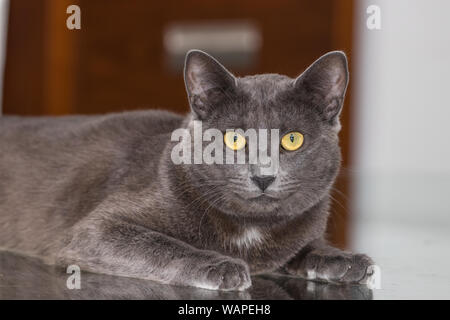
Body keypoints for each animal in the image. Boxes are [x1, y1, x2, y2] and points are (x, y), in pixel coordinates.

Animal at [0, 49, 372, 290]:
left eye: (292, 140)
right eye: (234, 138)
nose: (263, 175)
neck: (250, 229)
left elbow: (304, 246)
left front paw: (342, 258)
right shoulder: (93, 231)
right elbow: (159, 243)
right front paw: (219, 265)